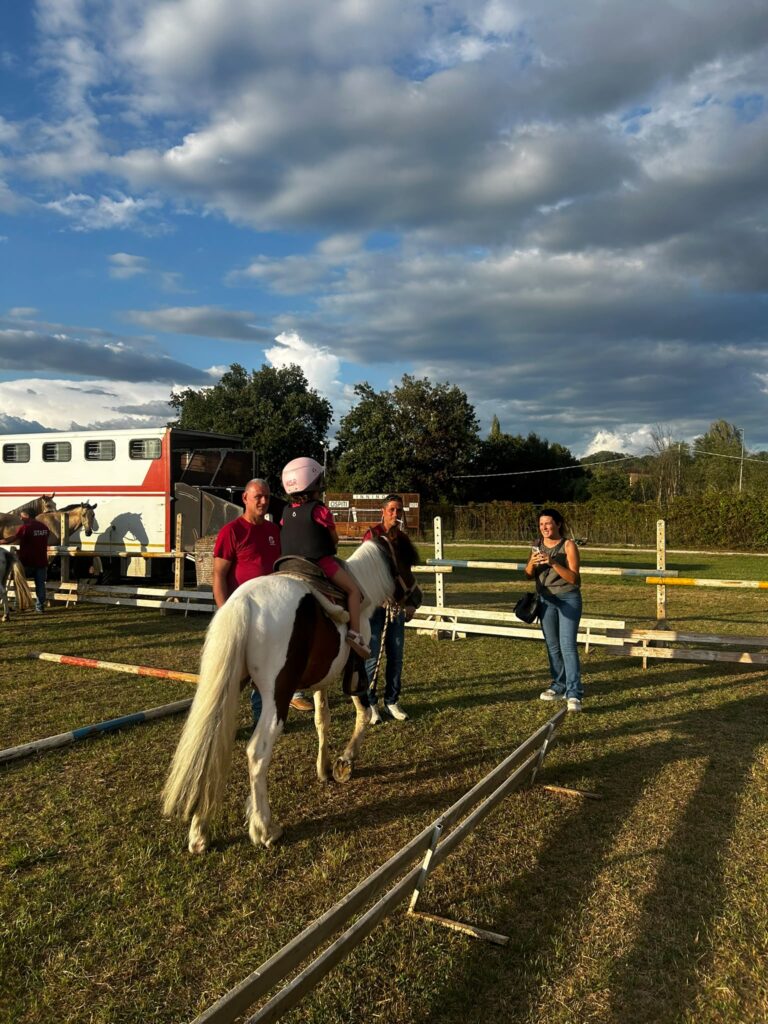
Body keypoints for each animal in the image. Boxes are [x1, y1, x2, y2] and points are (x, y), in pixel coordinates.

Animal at [163, 533, 421, 854]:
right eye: (407, 560)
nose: (417, 600)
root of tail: (244, 603)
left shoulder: (321, 680)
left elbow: (322, 720)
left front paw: (324, 768)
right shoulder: (356, 672)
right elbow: (362, 715)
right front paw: (345, 762)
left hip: (227, 689)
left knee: (210, 746)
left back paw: (200, 833)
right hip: (277, 696)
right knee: (257, 753)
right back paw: (265, 829)